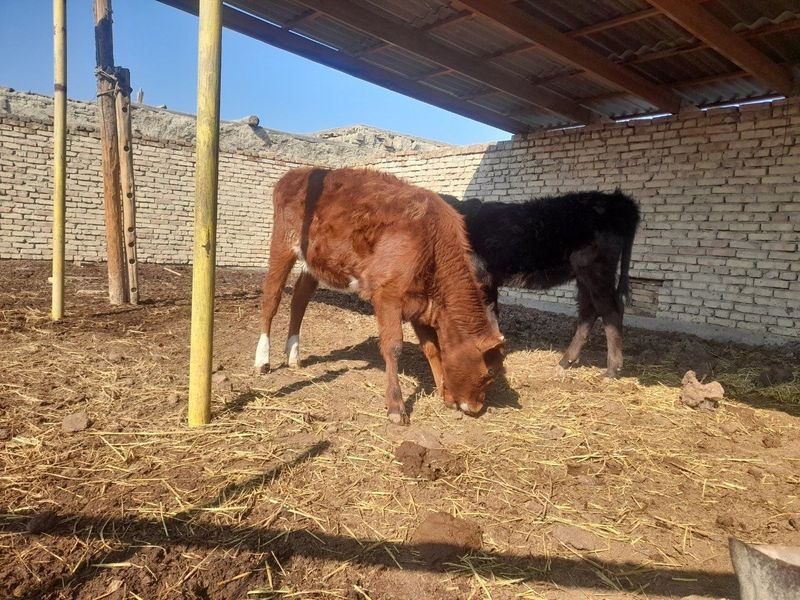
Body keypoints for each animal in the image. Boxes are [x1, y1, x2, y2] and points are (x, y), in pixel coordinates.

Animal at [256, 166, 504, 424]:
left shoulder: (421, 303)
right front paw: (396, 406)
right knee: (271, 298)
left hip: (313, 261)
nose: (476, 407)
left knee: (299, 299)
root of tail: (298, 172)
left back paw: (293, 356)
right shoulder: (388, 295)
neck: (432, 242)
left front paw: (443, 392)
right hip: (282, 244)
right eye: (489, 374)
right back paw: (262, 360)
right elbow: (393, 346)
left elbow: (432, 348)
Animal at [446, 192, 640, 378]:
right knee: (589, 311)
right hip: (583, 276)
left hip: (595, 271)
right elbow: (491, 315)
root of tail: (618, 200)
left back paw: (612, 370)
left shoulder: (481, 280)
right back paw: (566, 361)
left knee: (611, 310)